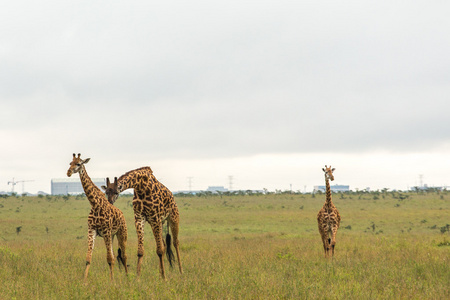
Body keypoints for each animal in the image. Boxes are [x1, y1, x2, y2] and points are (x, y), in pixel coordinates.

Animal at [66, 154, 128, 282]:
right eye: (70, 163)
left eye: (78, 163)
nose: (68, 172)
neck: (95, 204)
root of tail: (122, 214)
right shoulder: (92, 230)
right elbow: (88, 258)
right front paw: (84, 281)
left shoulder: (106, 231)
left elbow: (109, 259)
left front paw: (112, 281)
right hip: (112, 235)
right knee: (115, 256)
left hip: (121, 233)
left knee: (124, 256)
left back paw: (128, 277)